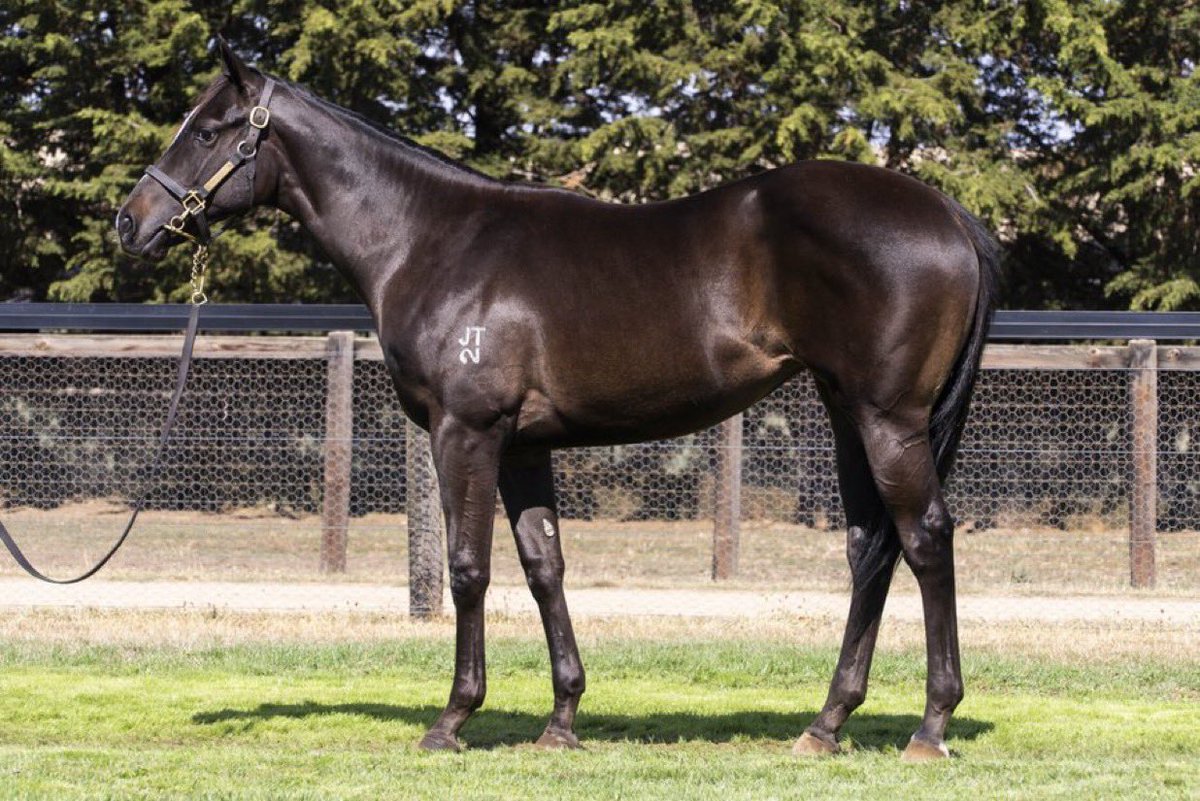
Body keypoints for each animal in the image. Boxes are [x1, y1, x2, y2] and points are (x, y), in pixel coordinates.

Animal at [117, 40, 996, 761]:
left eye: (209, 130)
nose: (132, 222)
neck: (429, 240)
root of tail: (951, 212)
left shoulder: (465, 432)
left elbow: (468, 568)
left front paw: (452, 719)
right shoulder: (524, 446)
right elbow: (545, 566)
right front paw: (562, 719)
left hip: (889, 420)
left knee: (924, 539)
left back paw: (930, 727)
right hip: (849, 413)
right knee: (871, 548)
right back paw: (825, 723)